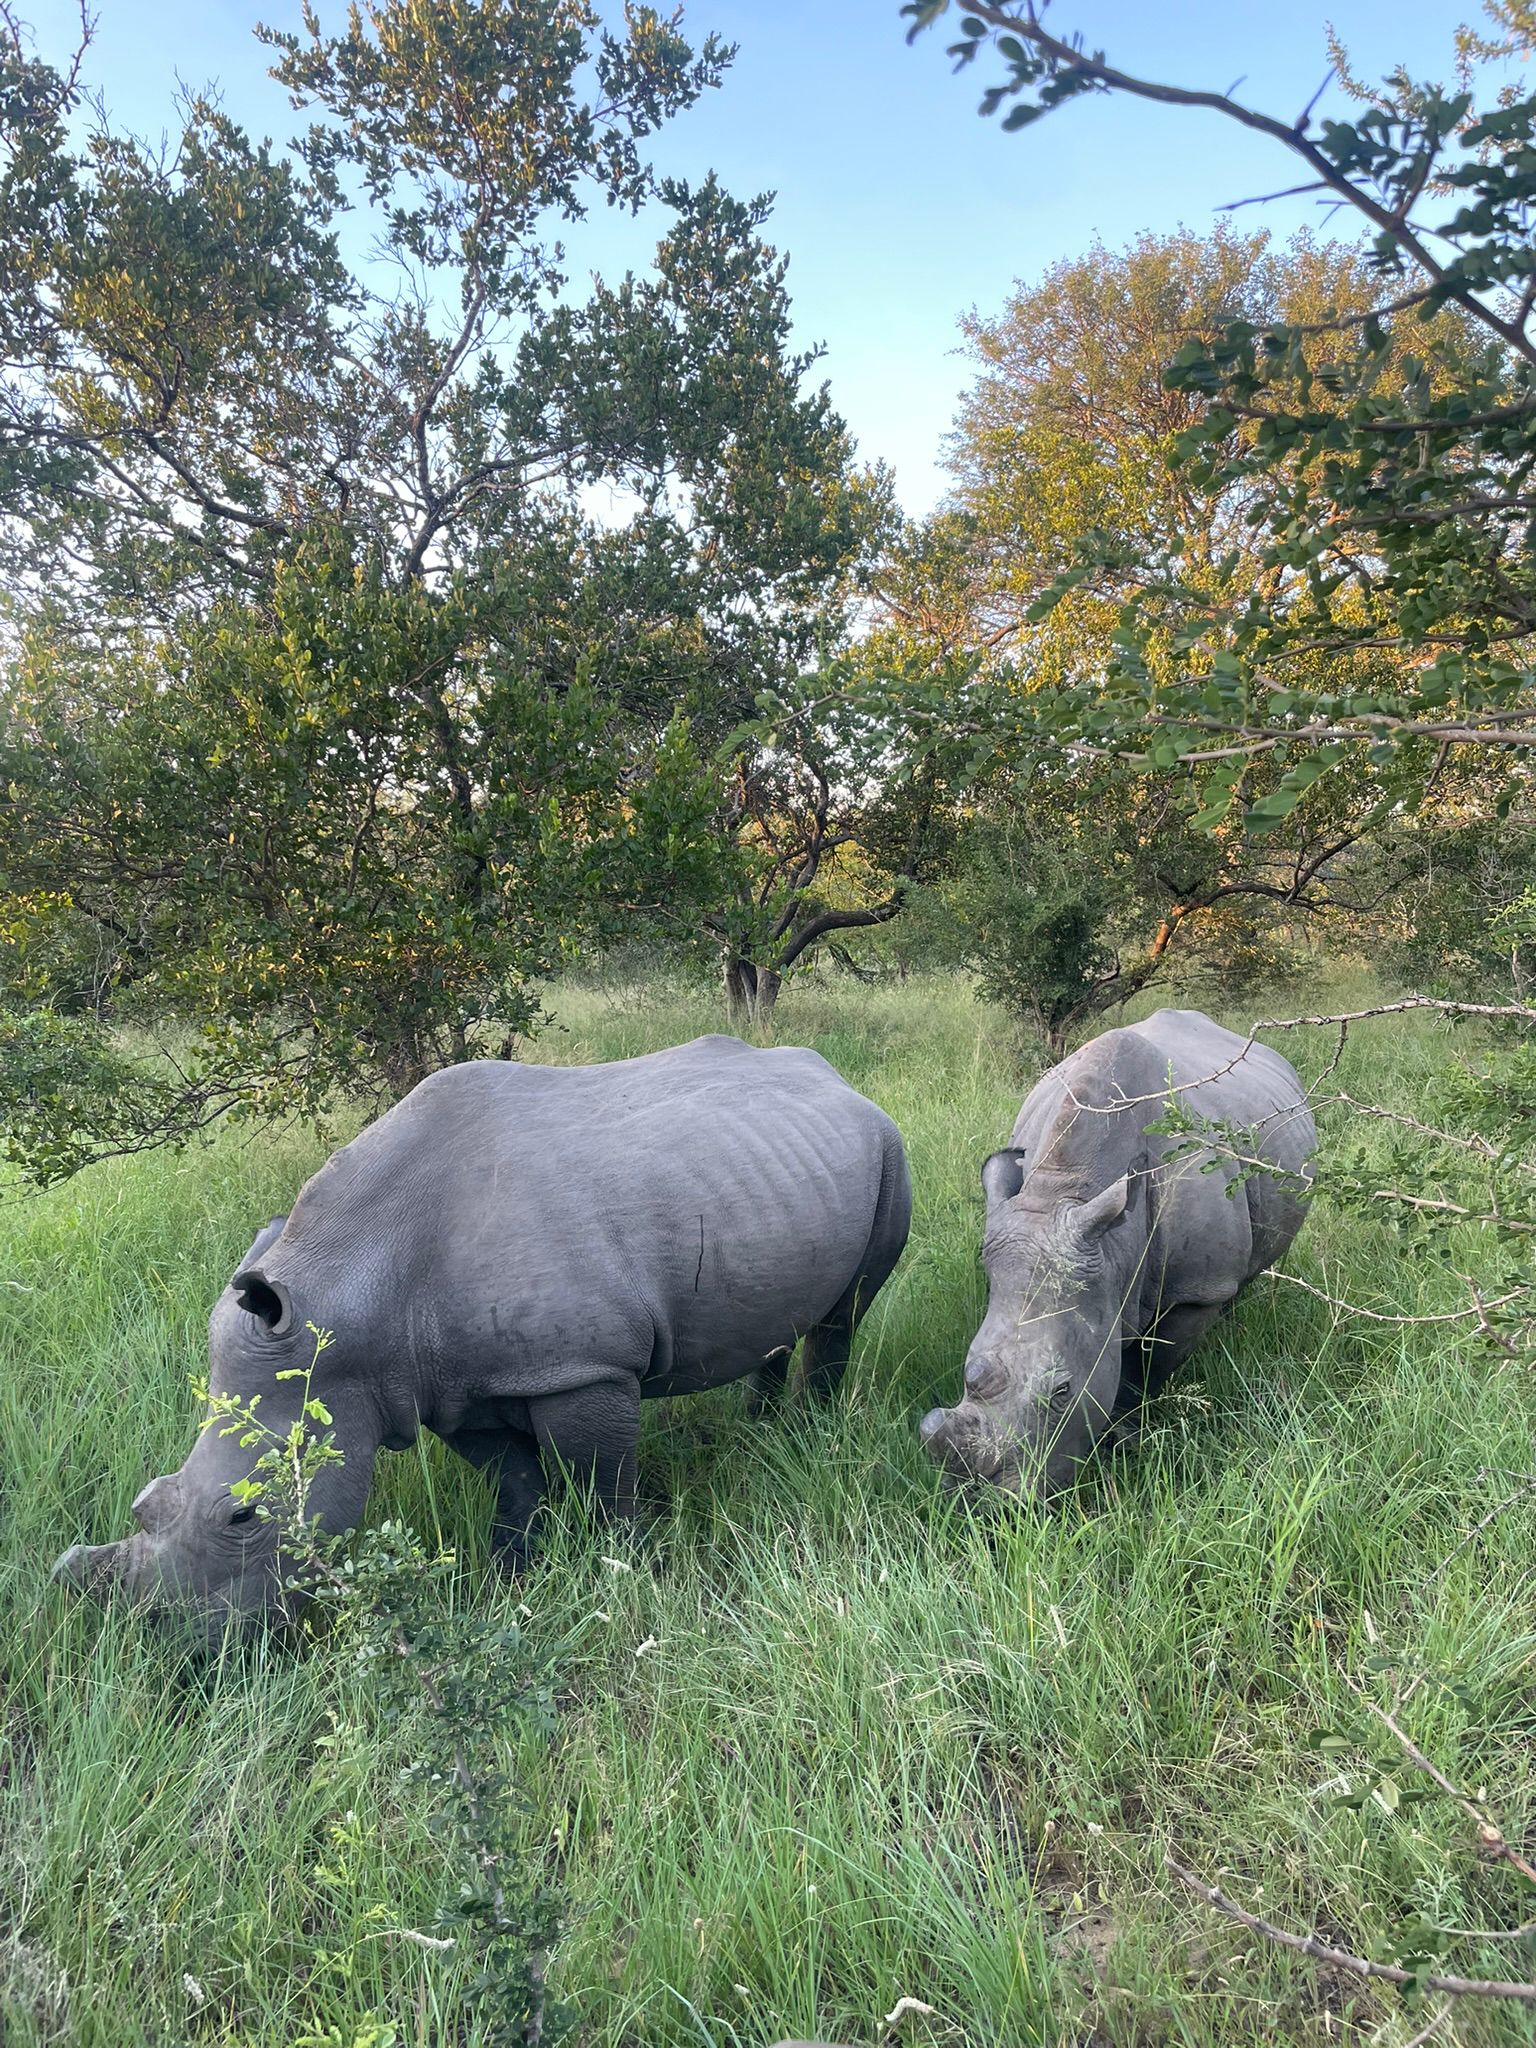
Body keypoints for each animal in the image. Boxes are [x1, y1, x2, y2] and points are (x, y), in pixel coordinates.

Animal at [53, 1036, 911, 1635]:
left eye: (243, 1516)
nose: (184, 1649)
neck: (351, 1292)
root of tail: (841, 1081)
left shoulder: (582, 1367)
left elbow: (602, 1487)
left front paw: (624, 1573)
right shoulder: (445, 1385)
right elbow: (514, 1481)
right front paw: (512, 1576)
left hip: (889, 1149)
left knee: (846, 1311)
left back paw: (810, 1433)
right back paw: (763, 1428)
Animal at [920, 1008, 1314, 1497]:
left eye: (1063, 1391)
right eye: (967, 1371)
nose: (984, 1501)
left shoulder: (1194, 1289)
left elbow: (1147, 1368)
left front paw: (1123, 1437)